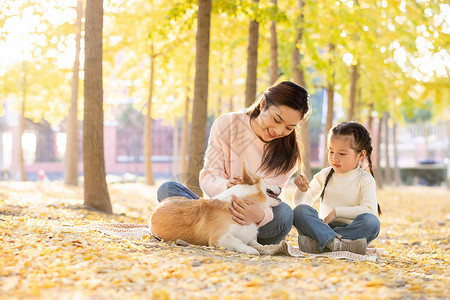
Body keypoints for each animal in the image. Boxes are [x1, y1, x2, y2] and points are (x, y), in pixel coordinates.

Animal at [150, 165, 282, 254]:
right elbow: (237, 241)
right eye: (264, 179)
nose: (280, 187)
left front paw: (270, 248)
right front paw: (249, 249)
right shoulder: (219, 237)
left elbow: (260, 245)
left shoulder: (250, 238)